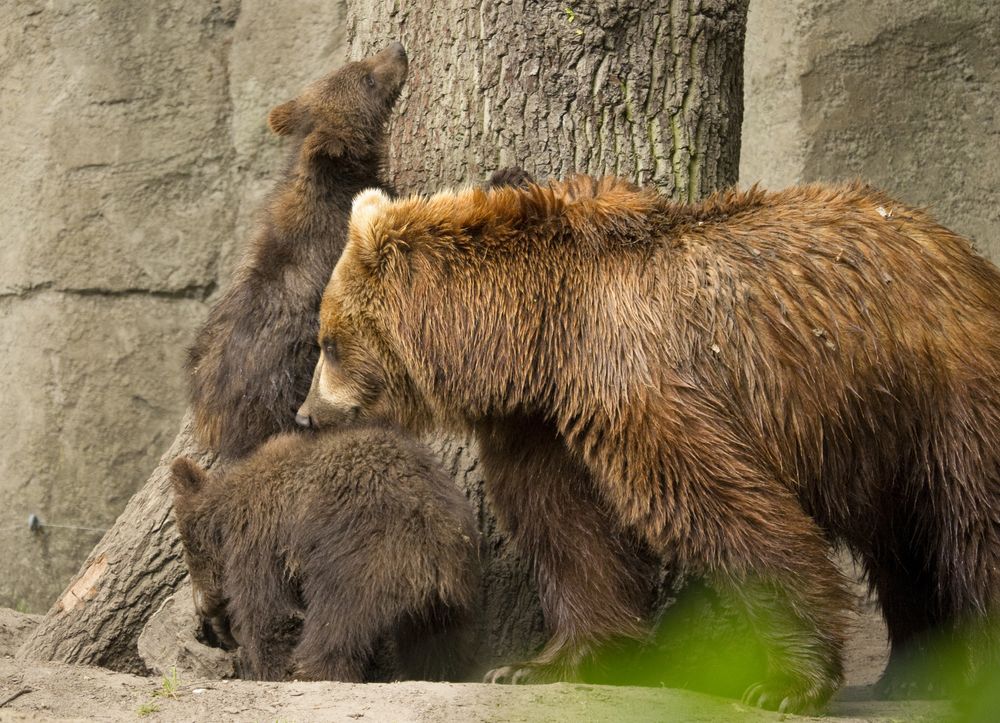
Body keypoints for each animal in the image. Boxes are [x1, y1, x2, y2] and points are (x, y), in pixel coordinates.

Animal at [296, 177, 1000, 712]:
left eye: (328, 342)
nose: (305, 415)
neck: (539, 334)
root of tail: (965, 256)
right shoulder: (543, 422)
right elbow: (565, 527)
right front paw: (539, 662)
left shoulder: (639, 379)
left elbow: (723, 506)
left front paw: (786, 681)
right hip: (879, 429)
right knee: (900, 546)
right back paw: (911, 671)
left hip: (942, 387)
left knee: (973, 524)